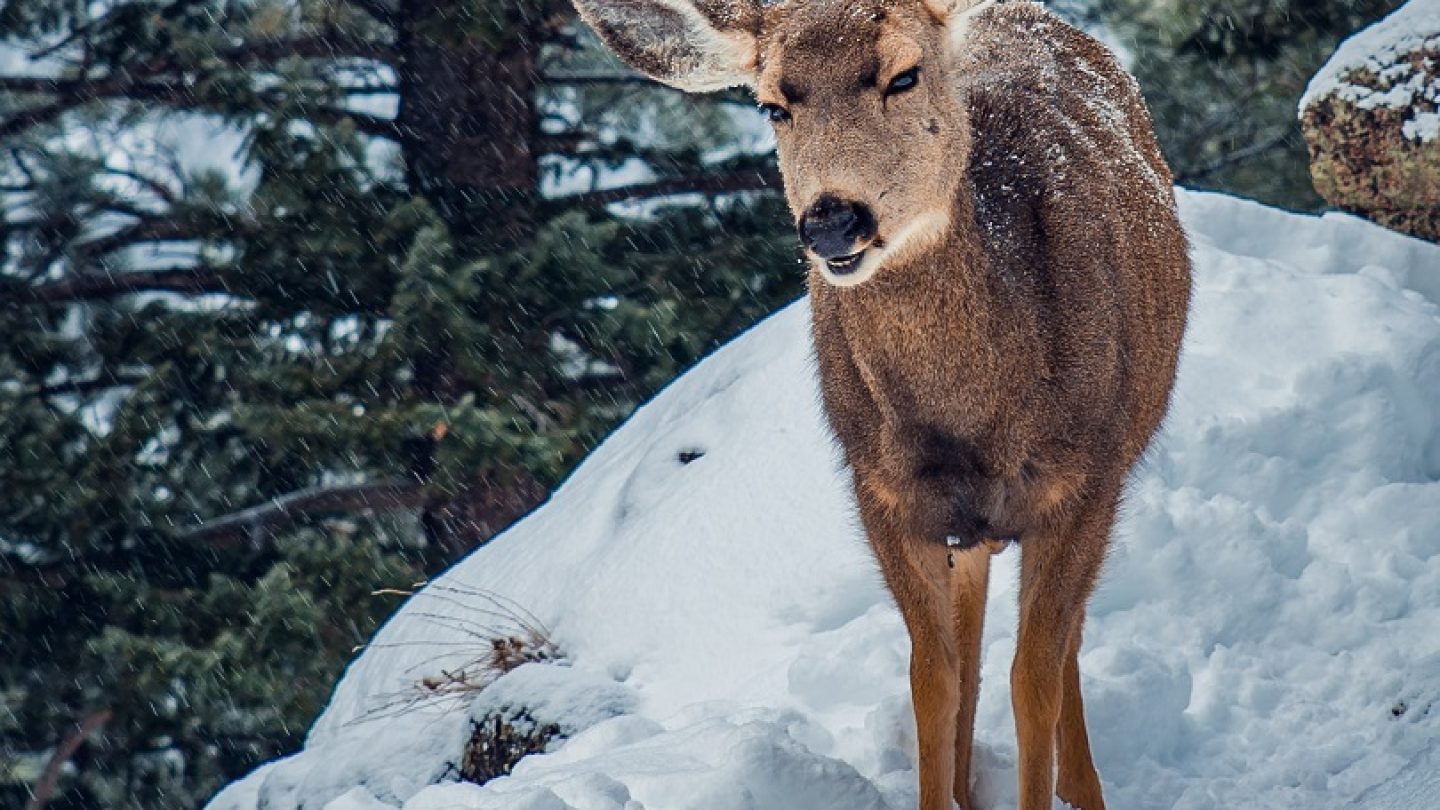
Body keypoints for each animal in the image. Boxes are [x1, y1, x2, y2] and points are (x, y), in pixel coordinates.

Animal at [567, 1, 1186, 807]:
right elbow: (933, 678)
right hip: (966, 521)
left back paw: (1081, 786)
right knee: (977, 636)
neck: (975, 417)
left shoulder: (1086, 480)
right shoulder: (882, 493)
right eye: (773, 104)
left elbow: (1035, 681)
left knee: (1062, 642)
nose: (833, 220)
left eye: (903, 74)